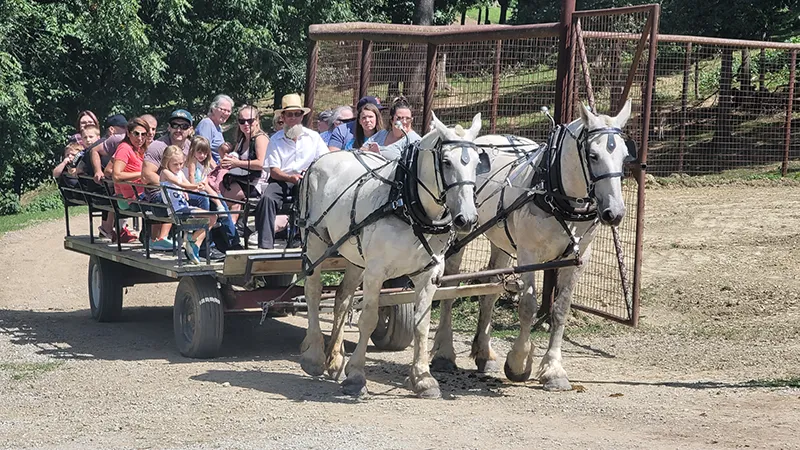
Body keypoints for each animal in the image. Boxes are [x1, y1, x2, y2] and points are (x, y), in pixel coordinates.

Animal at [298, 112, 487, 398]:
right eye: (446, 162)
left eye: (477, 162)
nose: (467, 219)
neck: (407, 202)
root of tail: (322, 159)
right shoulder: (376, 271)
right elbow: (368, 319)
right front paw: (356, 376)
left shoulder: (428, 274)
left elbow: (421, 325)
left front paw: (423, 379)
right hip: (316, 243)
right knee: (313, 291)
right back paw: (315, 357)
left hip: (355, 256)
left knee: (342, 298)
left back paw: (335, 359)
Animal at [431, 100, 636, 391]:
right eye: (593, 155)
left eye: (624, 156)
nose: (614, 213)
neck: (556, 193)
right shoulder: (528, 254)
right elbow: (527, 306)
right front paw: (518, 363)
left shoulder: (578, 259)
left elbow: (560, 310)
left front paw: (553, 370)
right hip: (461, 233)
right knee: (449, 286)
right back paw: (445, 354)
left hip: (502, 241)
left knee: (489, 290)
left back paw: (484, 354)